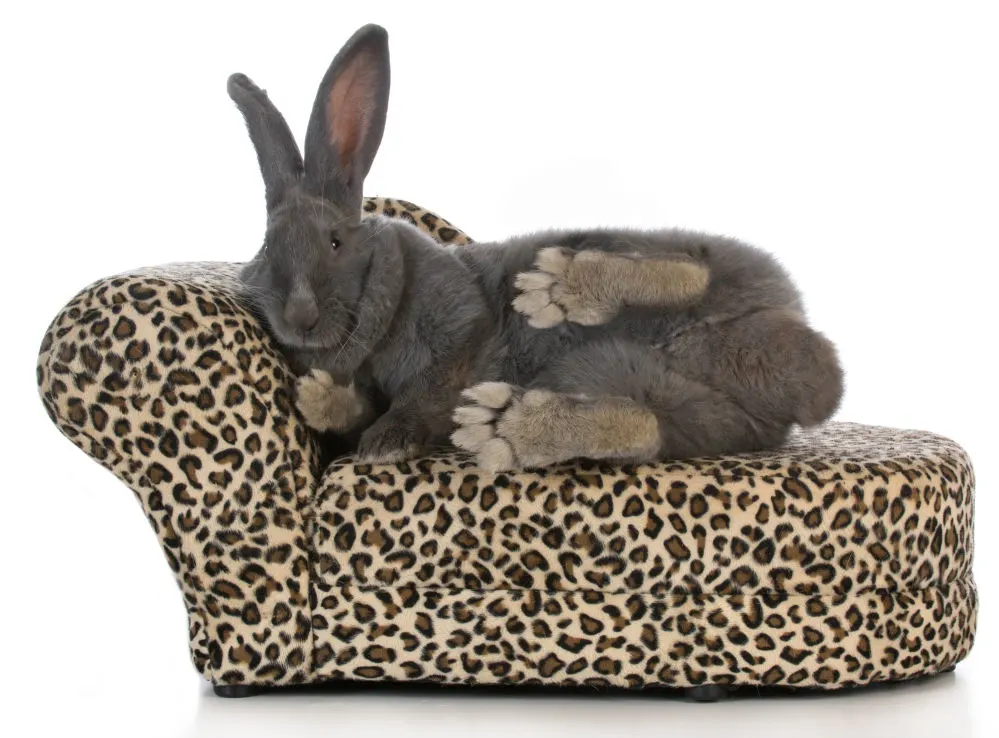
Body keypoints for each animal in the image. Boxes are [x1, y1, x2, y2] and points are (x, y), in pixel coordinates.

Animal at [232, 27, 844, 472]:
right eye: (266, 249)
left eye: (335, 242)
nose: (298, 318)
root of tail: (807, 363)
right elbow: (361, 407)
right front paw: (319, 399)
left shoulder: (461, 325)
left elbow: (426, 391)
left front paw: (387, 442)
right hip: (693, 414)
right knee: (644, 425)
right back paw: (510, 424)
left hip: (707, 261)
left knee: (693, 270)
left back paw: (559, 294)